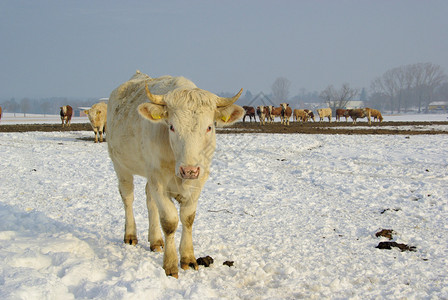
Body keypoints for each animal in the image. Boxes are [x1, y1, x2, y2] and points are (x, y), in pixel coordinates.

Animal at [106, 71, 243, 278]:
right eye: (171, 127)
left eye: (209, 127)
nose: (189, 170)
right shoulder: (158, 179)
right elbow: (169, 221)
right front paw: (170, 265)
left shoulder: (199, 179)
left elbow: (187, 217)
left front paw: (188, 258)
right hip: (121, 165)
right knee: (128, 197)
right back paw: (130, 235)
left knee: (149, 201)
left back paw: (155, 240)